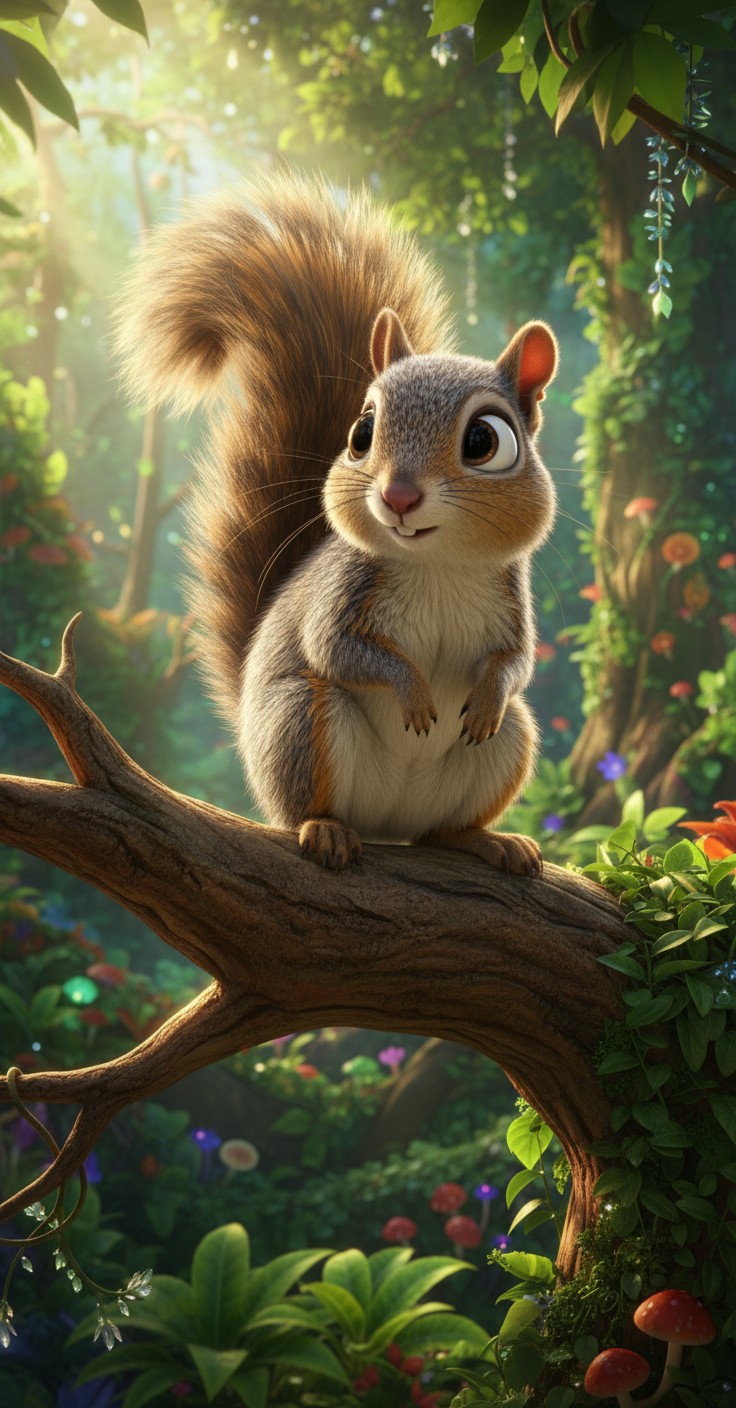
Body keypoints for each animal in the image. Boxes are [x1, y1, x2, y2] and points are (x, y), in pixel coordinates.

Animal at [115, 170, 558, 876]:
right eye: (362, 432)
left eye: (486, 441)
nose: (398, 496)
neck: (437, 564)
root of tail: (388, 823)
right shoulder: (343, 593)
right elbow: (337, 649)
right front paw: (413, 694)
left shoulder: (512, 604)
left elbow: (515, 664)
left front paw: (487, 693)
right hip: (303, 724)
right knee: (310, 796)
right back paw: (324, 828)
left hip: (509, 742)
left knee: (442, 827)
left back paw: (486, 839)